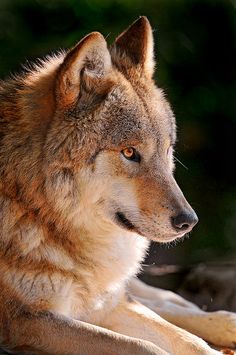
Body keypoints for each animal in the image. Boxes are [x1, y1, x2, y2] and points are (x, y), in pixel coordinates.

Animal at [0, 16, 235, 354]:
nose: (188, 222)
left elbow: (188, 340)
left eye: (167, 150)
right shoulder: (28, 321)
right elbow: (146, 346)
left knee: (164, 301)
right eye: (129, 152)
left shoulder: (105, 305)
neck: (35, 209)